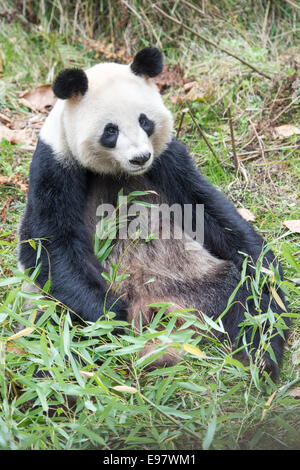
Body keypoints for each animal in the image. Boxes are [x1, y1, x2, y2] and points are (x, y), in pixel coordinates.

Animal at [17, 46, 290, 378]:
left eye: (145, 121)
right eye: (110, 130)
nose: (140, 157)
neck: (115, 170)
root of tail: (158, 311)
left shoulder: (167, 159)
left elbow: (209, 211)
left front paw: (265, 267)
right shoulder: (55, 164)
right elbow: (49, 245)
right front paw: (112, 315)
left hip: (192, 280)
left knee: (246, 302)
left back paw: (261, 356)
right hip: (50, 311)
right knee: (54, 337)